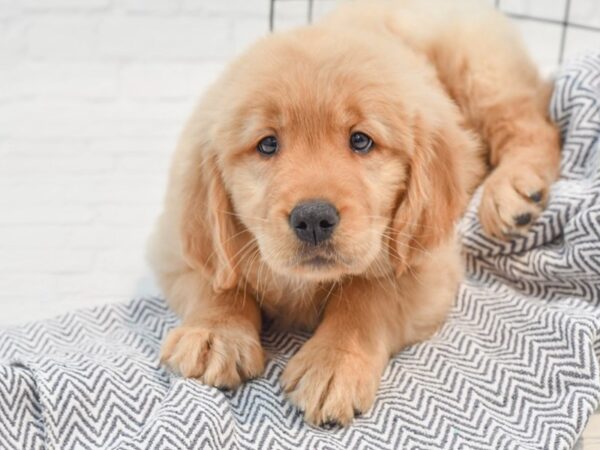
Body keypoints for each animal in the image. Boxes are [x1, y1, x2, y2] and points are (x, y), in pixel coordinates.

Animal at [148, 0, 560, 426]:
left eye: (361, 140)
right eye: (267, 145)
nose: (313, 219)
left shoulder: (426, 265)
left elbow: (367, 295)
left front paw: (334, 363)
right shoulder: (174, 244)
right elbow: (218, 280)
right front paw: (215, 334)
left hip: (479, 68)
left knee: (534, 128)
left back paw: (512, 192)